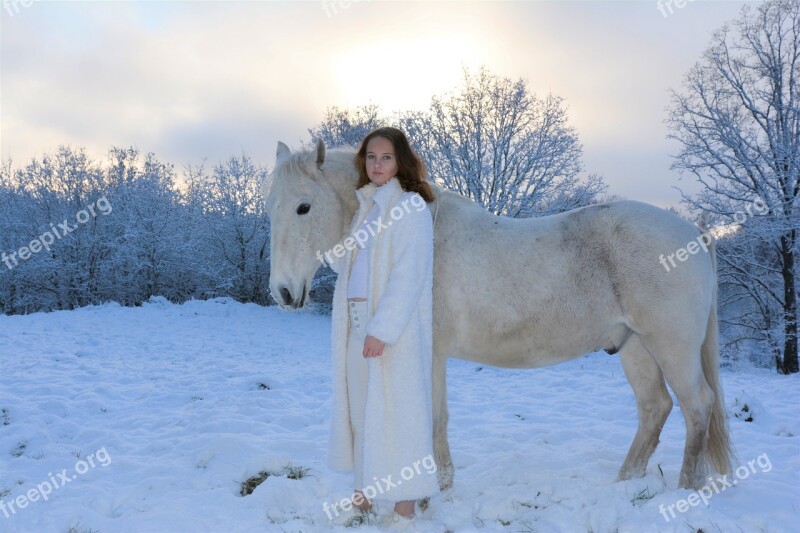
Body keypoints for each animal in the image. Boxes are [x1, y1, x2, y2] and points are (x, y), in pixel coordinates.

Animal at [266, 139, 736, 488]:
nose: (283, 292)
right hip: (635, 347)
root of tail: (695, 233)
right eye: (271, 208)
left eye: (304, 207)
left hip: (671, 347)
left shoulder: (430, 352)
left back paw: (685, 487)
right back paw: (625, 483)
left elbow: (435, 418)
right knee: (655, 408)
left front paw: (439, 485)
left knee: (698, 405)